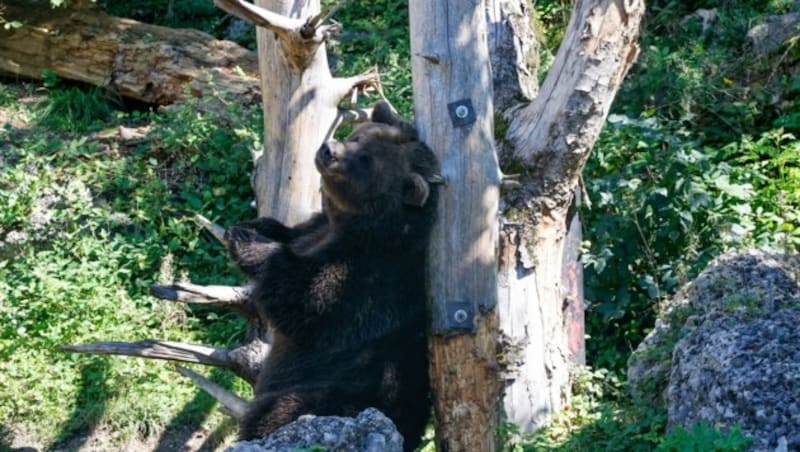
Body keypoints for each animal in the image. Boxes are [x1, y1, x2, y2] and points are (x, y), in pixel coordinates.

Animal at [225, 102, 438, 452]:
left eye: (366, 160)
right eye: (359, 136)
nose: (329, 150)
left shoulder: (368, 278)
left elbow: (303, 299)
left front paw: (249, 242)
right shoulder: (316, 229)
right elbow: (291, 233)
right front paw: (250, 226)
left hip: (334, 394)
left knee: (279, 412)